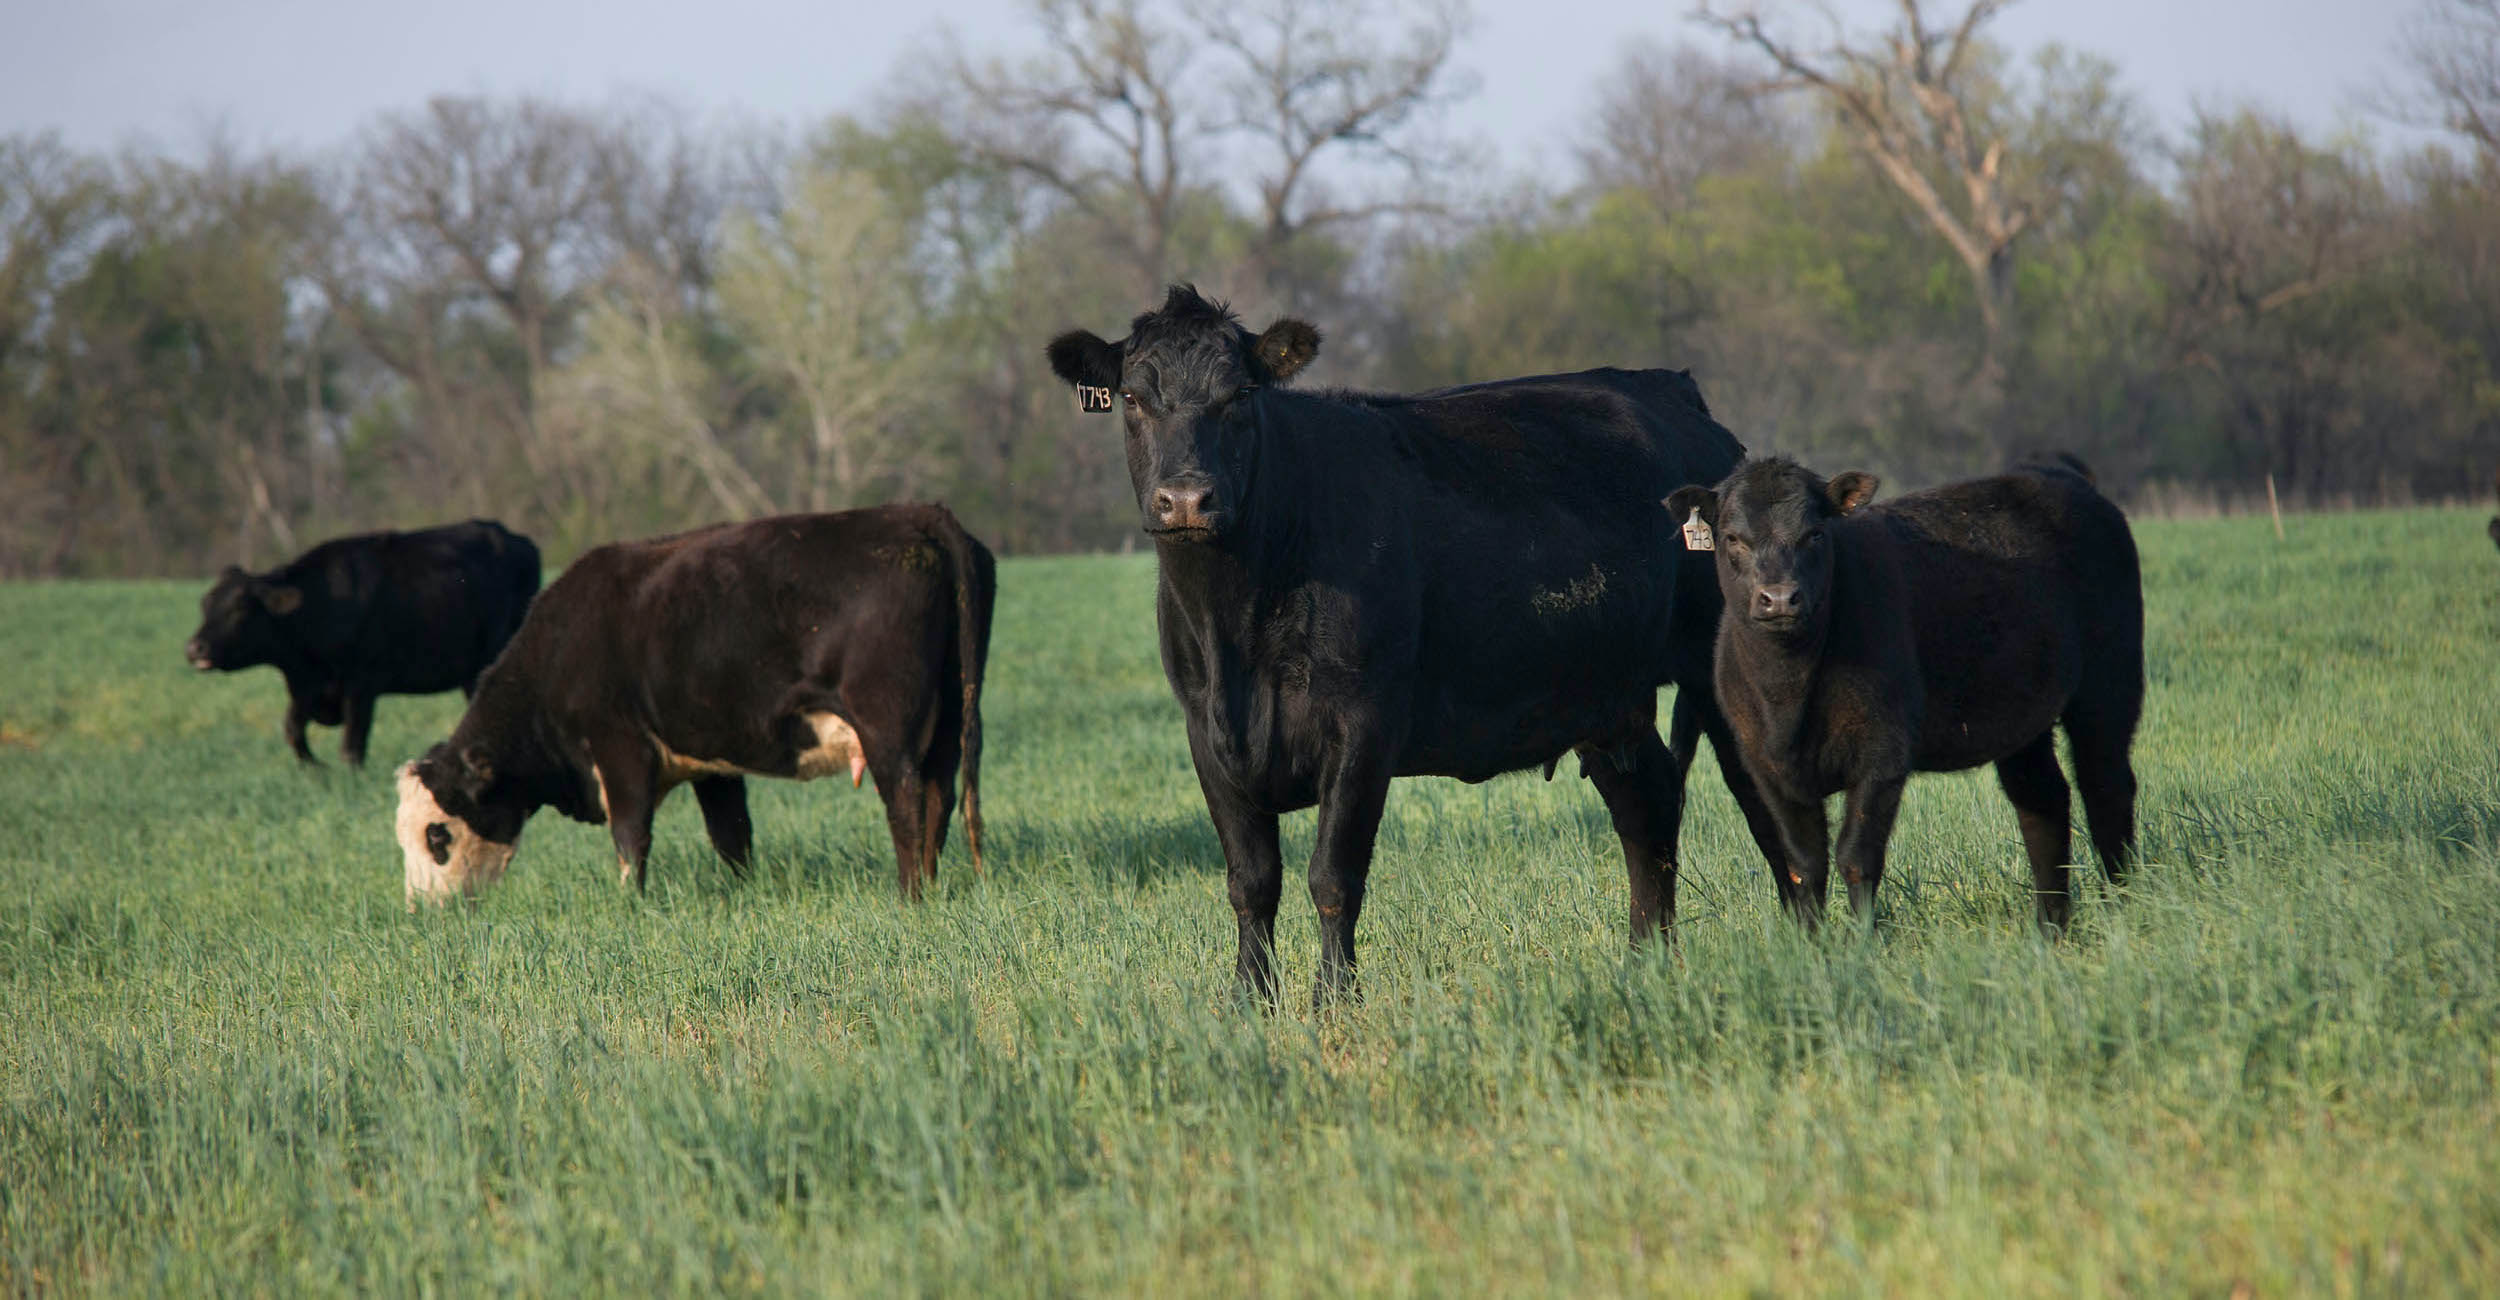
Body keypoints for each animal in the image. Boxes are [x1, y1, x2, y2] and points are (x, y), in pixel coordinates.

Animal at [186, 520, 541, 767]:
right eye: (205, 604)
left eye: (239, 608)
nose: (194, 648)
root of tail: (515, 538)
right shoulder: (306, 686)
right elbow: (293, 730)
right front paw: (315, 770)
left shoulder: (361, 684)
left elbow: (352, 746)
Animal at [393, 504, 994, 907]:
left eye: (437, 834)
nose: (422, 910)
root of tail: (915, 513)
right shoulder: (713, 764)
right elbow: (732, 836)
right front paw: (744, 893)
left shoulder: (620, 747)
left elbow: (631, 836)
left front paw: (630, 907)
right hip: (949, 722)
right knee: (940, 798)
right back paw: (931, 885)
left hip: (885, 727)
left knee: (906, 802)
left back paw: (909, 896)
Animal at [1045, 285, 1792, 1007]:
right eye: (1133, 398)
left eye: (1240, 396)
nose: (1186, 500)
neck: (1238, 630)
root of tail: (1673, 391)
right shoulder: (1206, 728)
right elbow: (1251, 881)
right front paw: (1247, 1002)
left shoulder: (1364, 720)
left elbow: (1332, 874)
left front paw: (1335, 1001)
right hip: (1604, 695)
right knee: (1649, 806)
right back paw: (1645, 964)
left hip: (1714, 669)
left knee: (1760, 798)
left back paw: (1801, 940)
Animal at [1663, 454, 2144, 933]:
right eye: (1732, 538)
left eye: (1815, 533)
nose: (1779, 598)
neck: (1787, 698)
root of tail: (2060, 474)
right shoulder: (1766, 766)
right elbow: (1804, 865)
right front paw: (1812, 943)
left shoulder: (1882, 755)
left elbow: (1856, 857)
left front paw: (1862, 941)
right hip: (2024, 719)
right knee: (2042, 800)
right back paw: (2050, 926)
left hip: (2109, 686)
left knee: (2106, 785)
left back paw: (2120, 904)